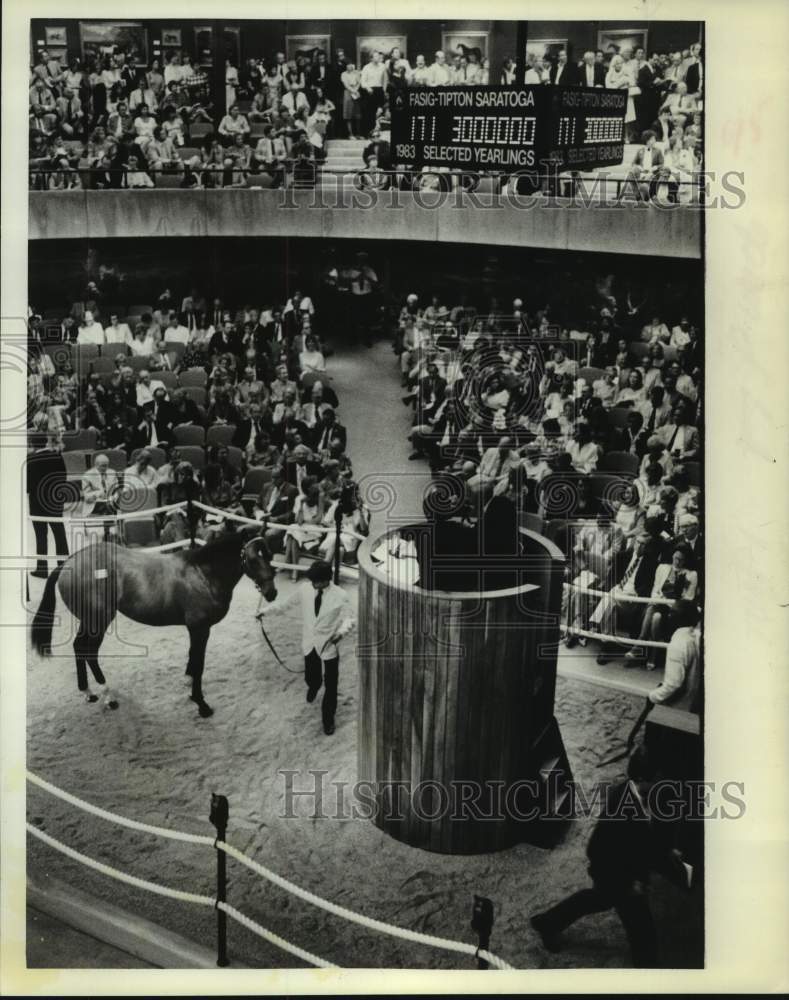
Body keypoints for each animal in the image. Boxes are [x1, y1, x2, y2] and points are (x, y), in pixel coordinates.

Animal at [30, 528, 278, 716]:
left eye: (269, 555)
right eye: (253, 558)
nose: (272, 592)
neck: (202, 574)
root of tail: (68, 564)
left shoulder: (196, 630)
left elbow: (193, 659)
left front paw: (188, 684)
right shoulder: (199, 629)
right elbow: (199, 663)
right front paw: (201, 703)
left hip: (90, 621)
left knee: (79, 648)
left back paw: (89, 693)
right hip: (97, 621)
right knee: (88, 650)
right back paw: (107, 696)